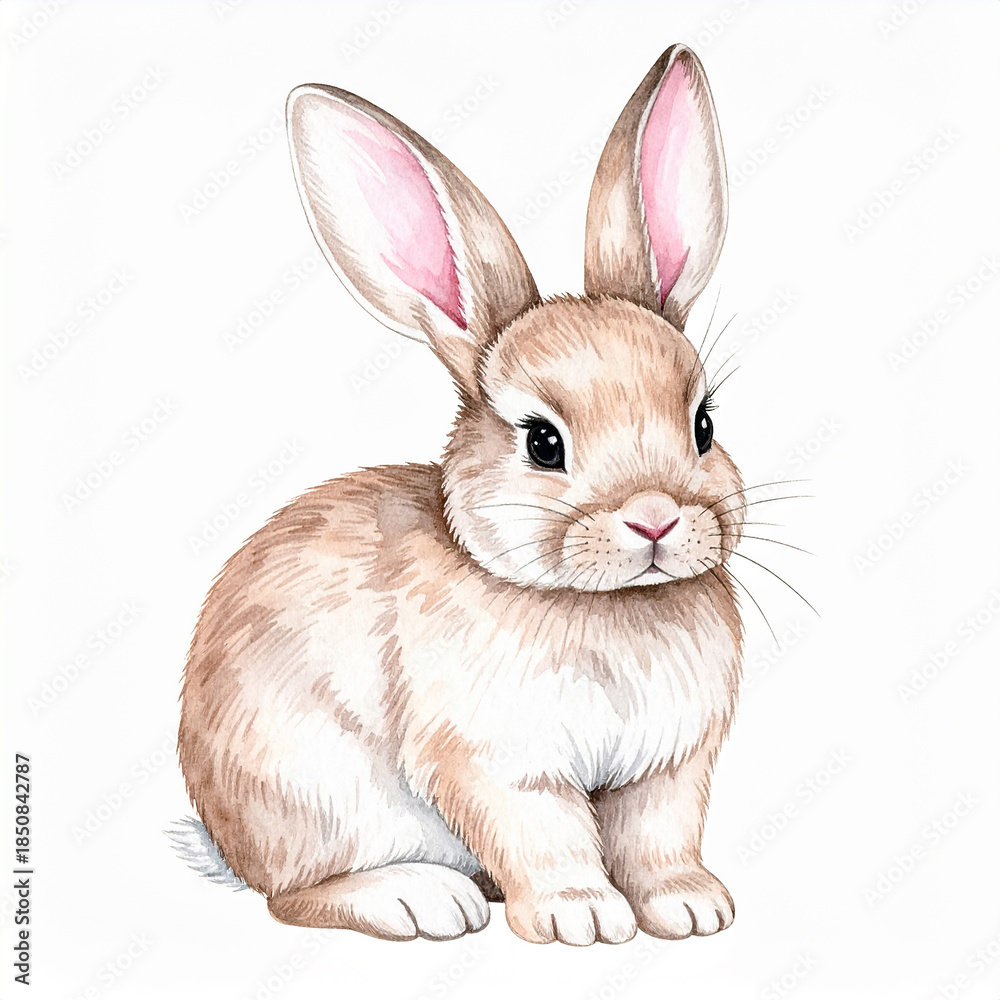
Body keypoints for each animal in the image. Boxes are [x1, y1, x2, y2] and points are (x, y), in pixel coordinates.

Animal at [178, 43, 746, 946]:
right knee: (294, 894)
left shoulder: (669, 766)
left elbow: (660, 837)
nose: (656, 519)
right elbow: (545, 834)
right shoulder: (494, 761)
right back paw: (419, 899)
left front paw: (690, 908)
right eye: (542, 441)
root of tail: (223, 835)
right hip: (321, 795)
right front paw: (582, 917)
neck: (600, 604)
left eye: (703, 423)